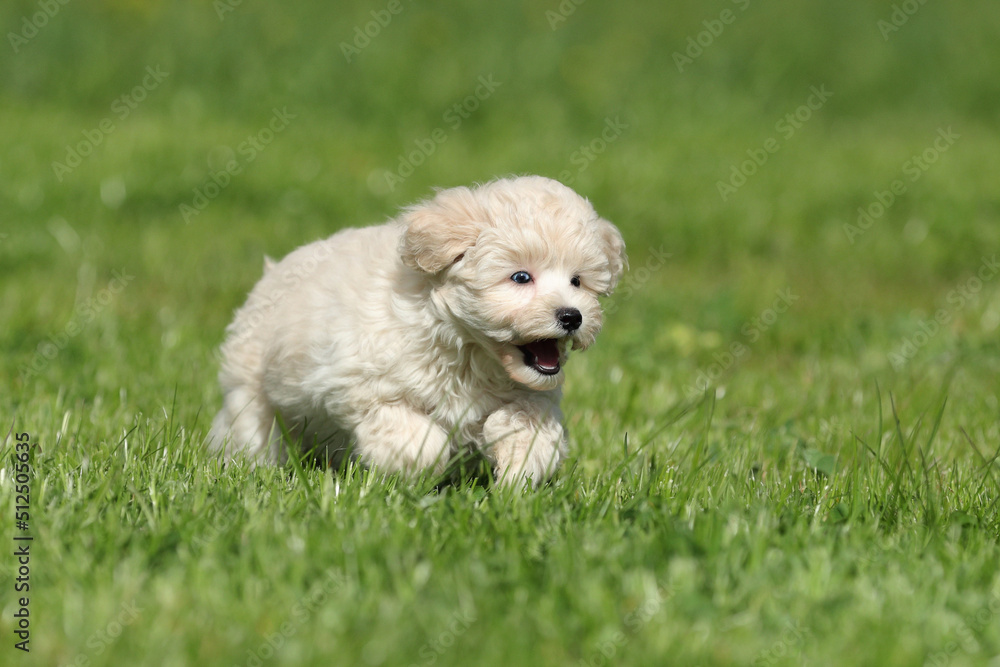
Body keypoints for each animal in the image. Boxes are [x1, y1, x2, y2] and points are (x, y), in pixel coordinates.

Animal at [210, 176, 624, 490]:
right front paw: (420, 469)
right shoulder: (366, 387)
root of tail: (273, 271)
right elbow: (413, 434)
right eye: (521, 277)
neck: (467, 348)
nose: (572, 316)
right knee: (252, 427)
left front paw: (521, 470)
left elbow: (528, 426)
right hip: (251, 386)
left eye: (577, 281)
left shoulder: (531, 394)